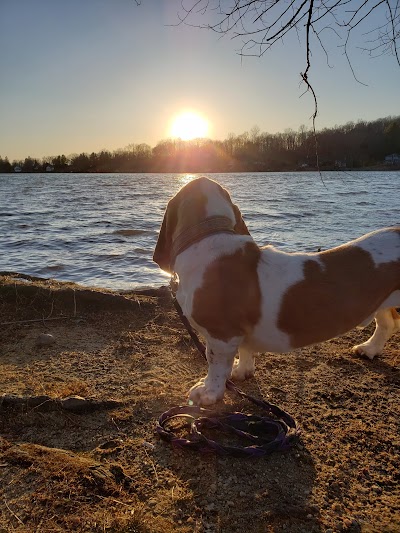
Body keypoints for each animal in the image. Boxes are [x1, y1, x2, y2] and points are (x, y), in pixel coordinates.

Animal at [153, 177, 400, 406]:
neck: (210, 232)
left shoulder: (221, 335)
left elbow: (215, 365)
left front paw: (208, 393)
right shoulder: (238, 334)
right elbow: (245, 350)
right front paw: (242, 371)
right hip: (381, 301)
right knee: (386, 323)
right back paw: (369, 349)